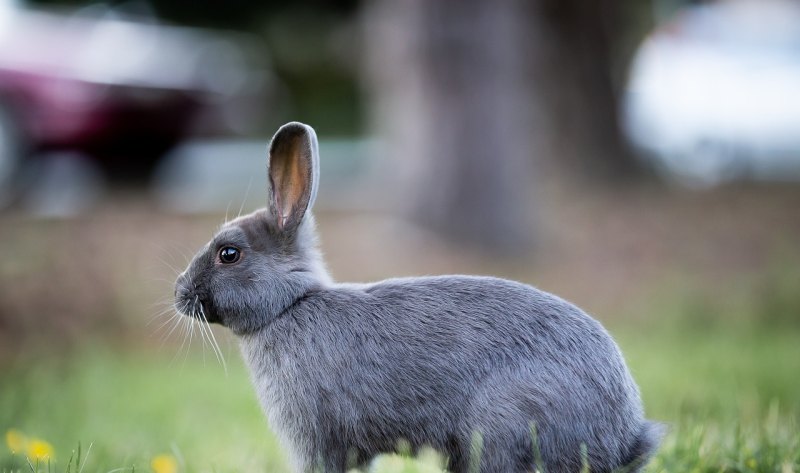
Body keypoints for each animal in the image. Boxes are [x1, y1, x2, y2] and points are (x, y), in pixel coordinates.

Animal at [175, 122, 664, 472]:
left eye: (229, 253)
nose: (179, 292)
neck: (289, 306)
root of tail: (620, 437)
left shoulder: (317, 438)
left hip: (502, 428)